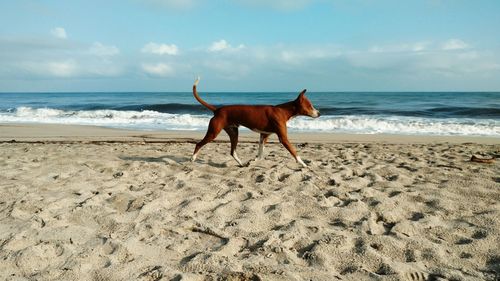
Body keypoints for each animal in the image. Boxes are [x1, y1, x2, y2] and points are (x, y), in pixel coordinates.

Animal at [191, 77, 320, 166]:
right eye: (310, 106)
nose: (319, 113)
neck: (283, 111)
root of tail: (217, 110)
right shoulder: (283, 138)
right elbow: (294, 152)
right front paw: (303, 164)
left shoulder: (264, 135)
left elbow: (260, 153)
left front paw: (254, 160)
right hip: (213, 132)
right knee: (199, 144)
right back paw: (193, 158)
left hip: (234, 133)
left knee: (232, 152)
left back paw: (241, 163)